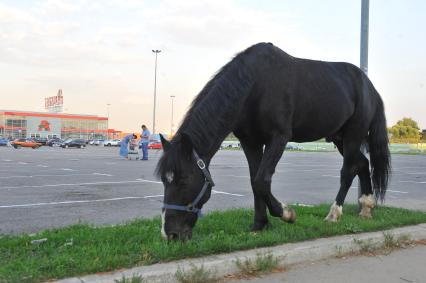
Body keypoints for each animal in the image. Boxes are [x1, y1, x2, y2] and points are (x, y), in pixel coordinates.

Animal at [156, 42, 390, 242]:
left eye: (184, 180)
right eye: (164, 181)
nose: (170, 234)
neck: (255, 85)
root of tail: (370, 87)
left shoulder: (278, 138)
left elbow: (262, 180)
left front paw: (286, 213)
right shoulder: (250, 141)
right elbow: (254, 182)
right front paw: (259, 225)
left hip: (353, 135)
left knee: (348, 171)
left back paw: (334, 214)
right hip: (339, 138)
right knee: (362, 163)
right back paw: (366, 208)